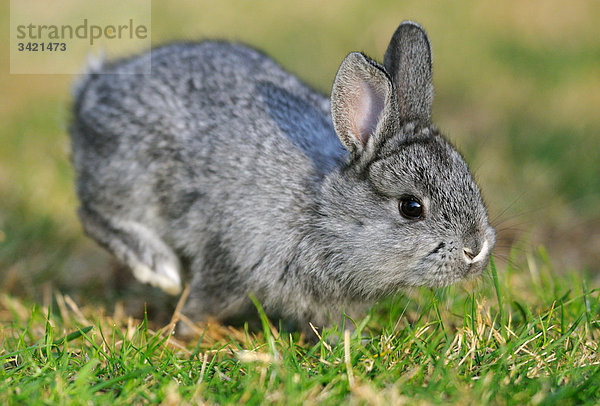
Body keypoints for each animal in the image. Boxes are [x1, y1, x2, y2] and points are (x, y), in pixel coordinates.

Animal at [70, 20, 494, 334]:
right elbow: (204, 299)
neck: (322, 213)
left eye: (468, 179)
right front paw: (183, 330)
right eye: (411, 207)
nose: (475, 249)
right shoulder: (230, 255)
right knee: (93, 214)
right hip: (131, 177)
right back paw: (158, 268)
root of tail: (90, 91)